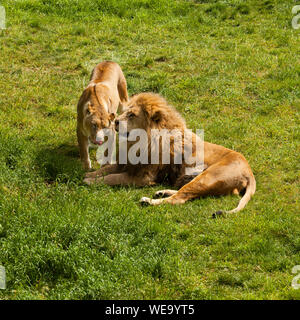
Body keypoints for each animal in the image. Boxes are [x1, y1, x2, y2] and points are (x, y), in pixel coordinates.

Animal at [84, 92, 255, 215]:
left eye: (132, 115)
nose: (115, 122)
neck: (140, 141)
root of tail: (249, 171)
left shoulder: (143, 177)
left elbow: (113, 178)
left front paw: (89, 181)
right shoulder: (127, 163)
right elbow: (106, 169)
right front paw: (89, 174)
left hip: (207, 178)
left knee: (179, 198)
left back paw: (148, 201)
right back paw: (161, 192)